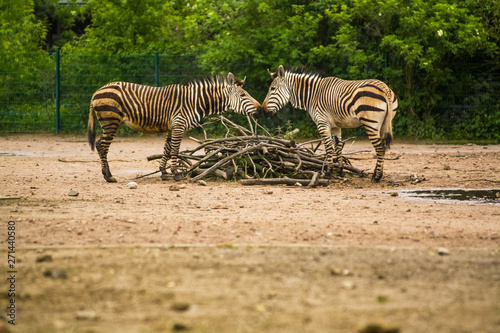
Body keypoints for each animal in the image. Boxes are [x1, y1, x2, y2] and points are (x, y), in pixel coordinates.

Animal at [88, 72, 264, 182]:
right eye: (243, 95)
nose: (261, 110)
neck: (195, 102)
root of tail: (97, 91)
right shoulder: (179, 126)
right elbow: (175, 150)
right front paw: (176, 174)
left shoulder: (171, 127)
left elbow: (166, 149)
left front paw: (164, 172)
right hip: (111, 121)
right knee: (102, 146)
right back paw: (109, 176)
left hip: (113, 123)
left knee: (99, 144)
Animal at [262, 65, 398, 182]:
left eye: (272, 89)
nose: (262, 110)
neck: (313, 95)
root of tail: (385, 89)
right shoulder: (336, 126)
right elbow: (338, 148)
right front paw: (340, 172)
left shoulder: (322, 123)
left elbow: (328, 148)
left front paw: (328, 173)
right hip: (382, 124)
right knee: (382, 146)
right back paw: (376, 174)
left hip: (371, 123)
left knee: (380, 148)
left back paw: (377, 177)